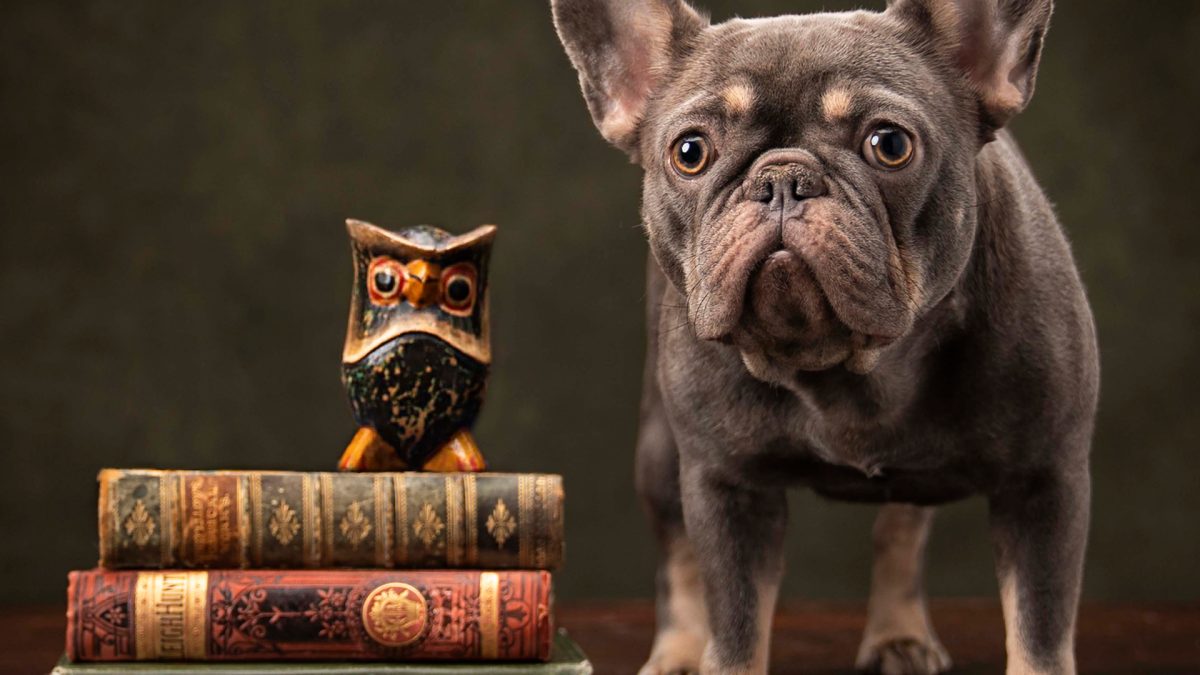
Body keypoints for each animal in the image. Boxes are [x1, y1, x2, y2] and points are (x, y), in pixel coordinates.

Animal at [552, 0, 1099, 667]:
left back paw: (898, 634)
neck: (845, 365)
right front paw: (713, 654)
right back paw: (679, 654)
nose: (782, 179)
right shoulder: (727, 487)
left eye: (890, 144)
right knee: (678, 557)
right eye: (690, 152)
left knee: (900, 529)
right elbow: (735, 629)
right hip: (659, 452)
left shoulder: (1044, 482)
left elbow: (1038, 632)